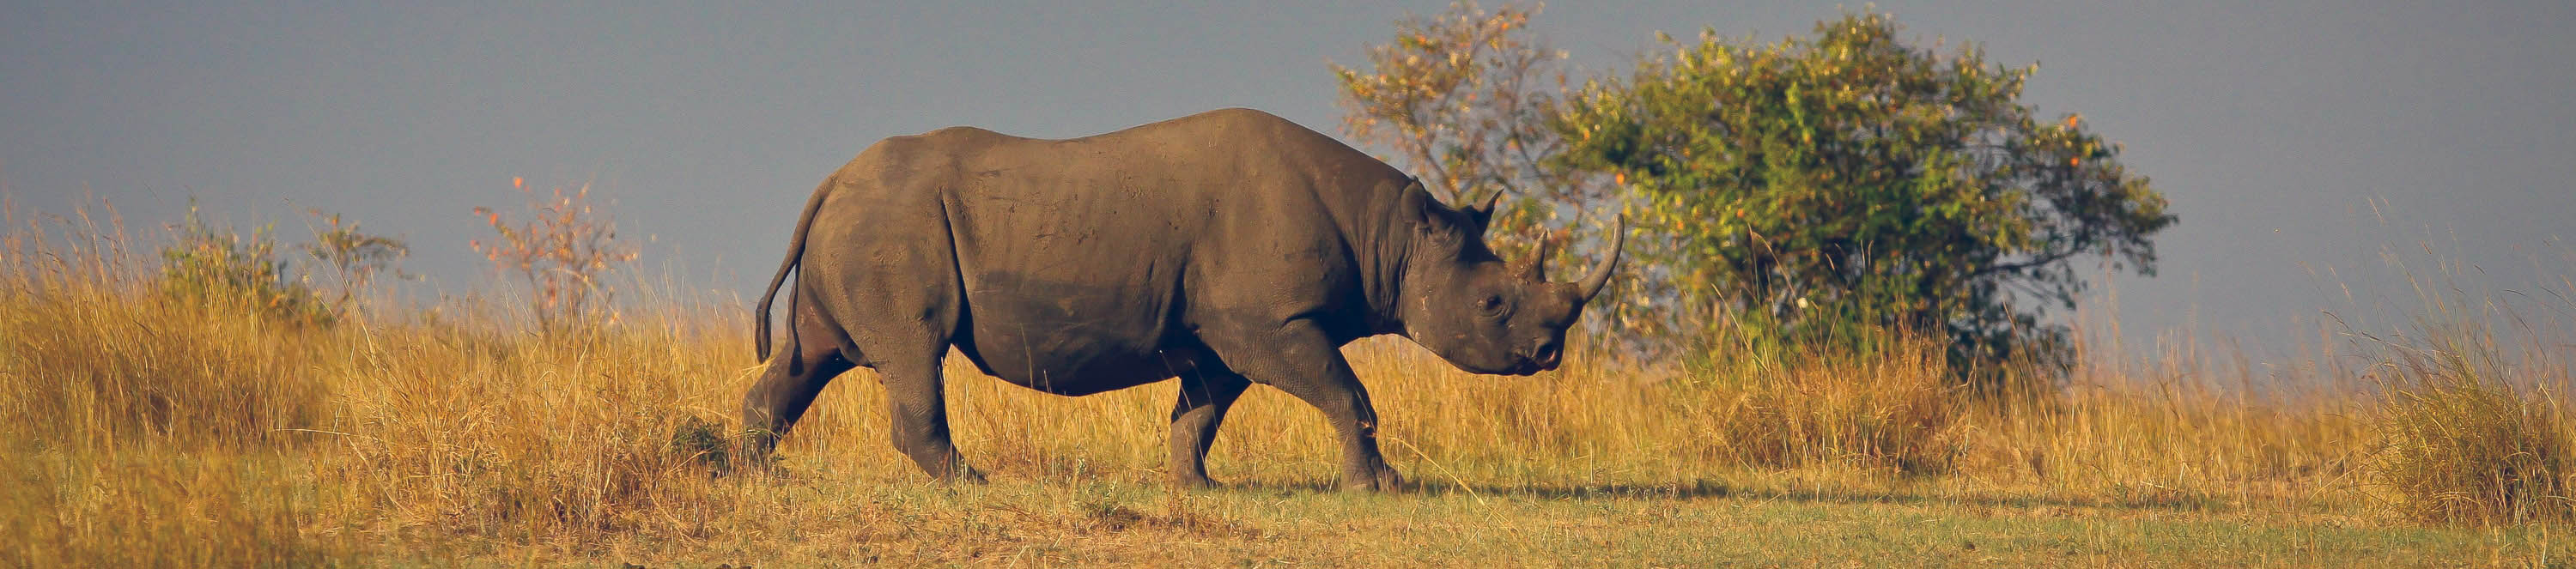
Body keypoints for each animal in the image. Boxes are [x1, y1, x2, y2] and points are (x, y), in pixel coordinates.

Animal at [747, 108, 1618, 492]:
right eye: (1495, 304)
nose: (1548, 353)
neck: (1393, 237)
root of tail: (830, 182)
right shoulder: (1270, 320)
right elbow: (1348, 392)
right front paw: (1381, 488)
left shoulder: (1227, 330)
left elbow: (1199, 412)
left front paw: (1194, 488)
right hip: (892, 225)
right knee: (912, 351)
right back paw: (974, 484)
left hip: (867, 222)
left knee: (811, 357)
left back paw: (750, 471)